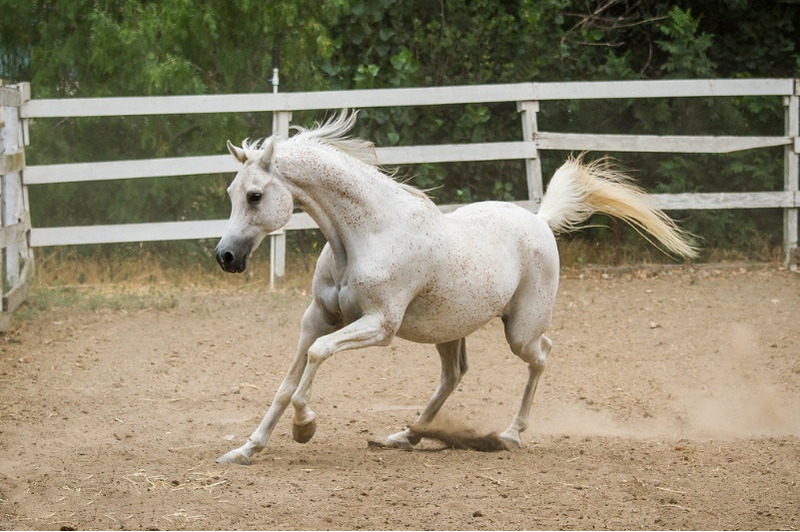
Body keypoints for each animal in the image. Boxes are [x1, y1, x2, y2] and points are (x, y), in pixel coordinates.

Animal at [212, 110, 692, 464]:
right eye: (232, 192)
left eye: (255, 196)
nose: (226, 256)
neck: (366, 234)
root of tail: (540, 220)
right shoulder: (318, 317)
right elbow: (287, 381)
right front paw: (247, 449)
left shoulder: (380, 326)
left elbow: (316, 357)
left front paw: (304, 427)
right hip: (447, 329)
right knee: (454, 375)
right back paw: (406, 435)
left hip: (520, 330)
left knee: (541, 355)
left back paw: (509, 434)